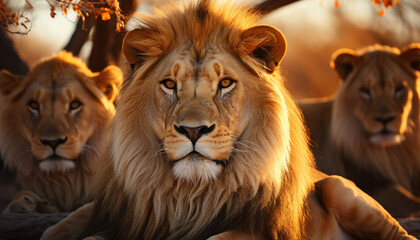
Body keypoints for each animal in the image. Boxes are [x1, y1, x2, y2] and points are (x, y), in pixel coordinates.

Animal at [300, 43, 420, 218]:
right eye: (365, 90)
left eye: (399, 89)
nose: (384, 119)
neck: (391, 152)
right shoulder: (371, 187)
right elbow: (411, 201)